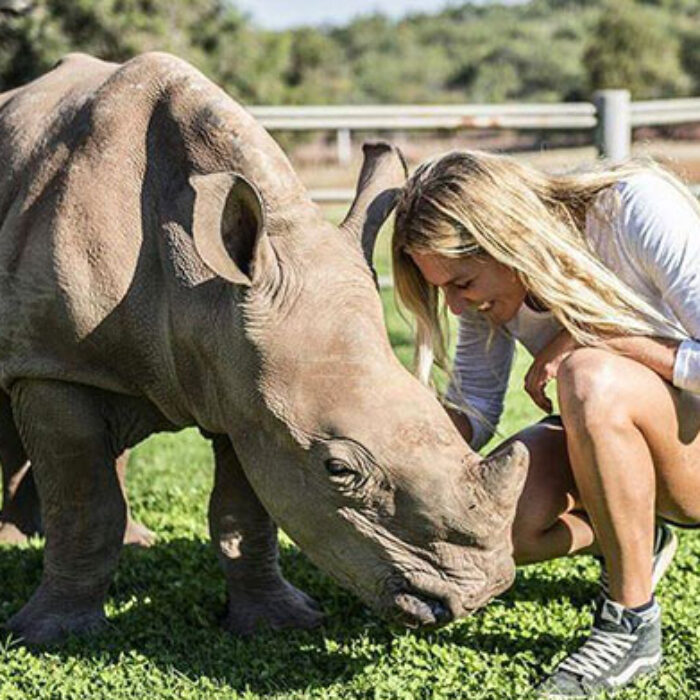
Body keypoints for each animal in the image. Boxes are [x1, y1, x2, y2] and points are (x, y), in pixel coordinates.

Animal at [0, 52, 528, 644]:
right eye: (338, 469)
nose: (478, 593)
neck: (203, 291)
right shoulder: (56, 365)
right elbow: (85, 509)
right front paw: (53, 636)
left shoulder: (251, 394)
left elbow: (244, 515)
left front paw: (276, 622)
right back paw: (20, 544)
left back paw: (127, 540)